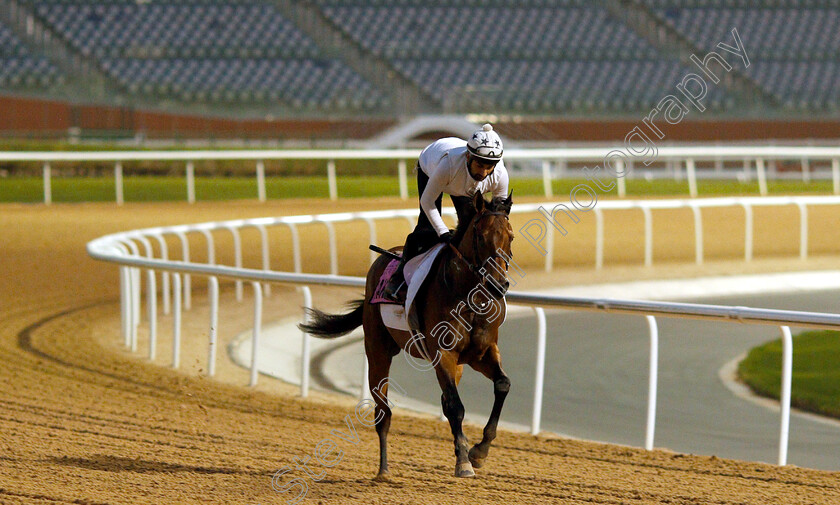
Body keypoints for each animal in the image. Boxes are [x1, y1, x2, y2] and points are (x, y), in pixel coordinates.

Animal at [298, 191, 516, 478]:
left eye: (510, 237)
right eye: (481, 237)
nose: (497, 285)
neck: (468, 296)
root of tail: (384, 257)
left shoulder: (481, 352)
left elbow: (501, 385)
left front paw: (479, 451)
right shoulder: (442, 353)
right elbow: (456, 406)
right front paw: (464, 462)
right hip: (377, 350)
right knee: (383, 411)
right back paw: (383, 470)